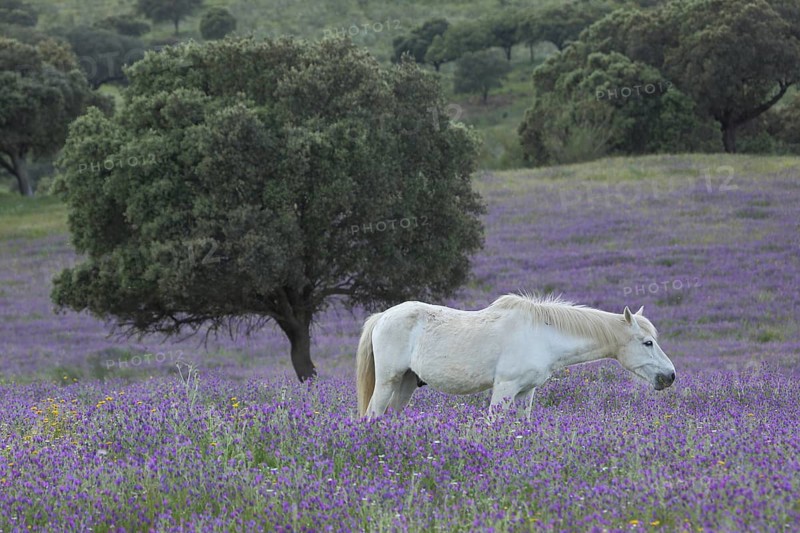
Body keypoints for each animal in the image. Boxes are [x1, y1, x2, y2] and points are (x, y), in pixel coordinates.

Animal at [356, 294, 676, 418]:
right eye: (648, 342)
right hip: (387, 382)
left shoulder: (526, 393)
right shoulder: (505, 388)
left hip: (406, 384)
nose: (670, 376)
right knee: (373, 416)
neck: (541, 335)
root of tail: (383, 316)